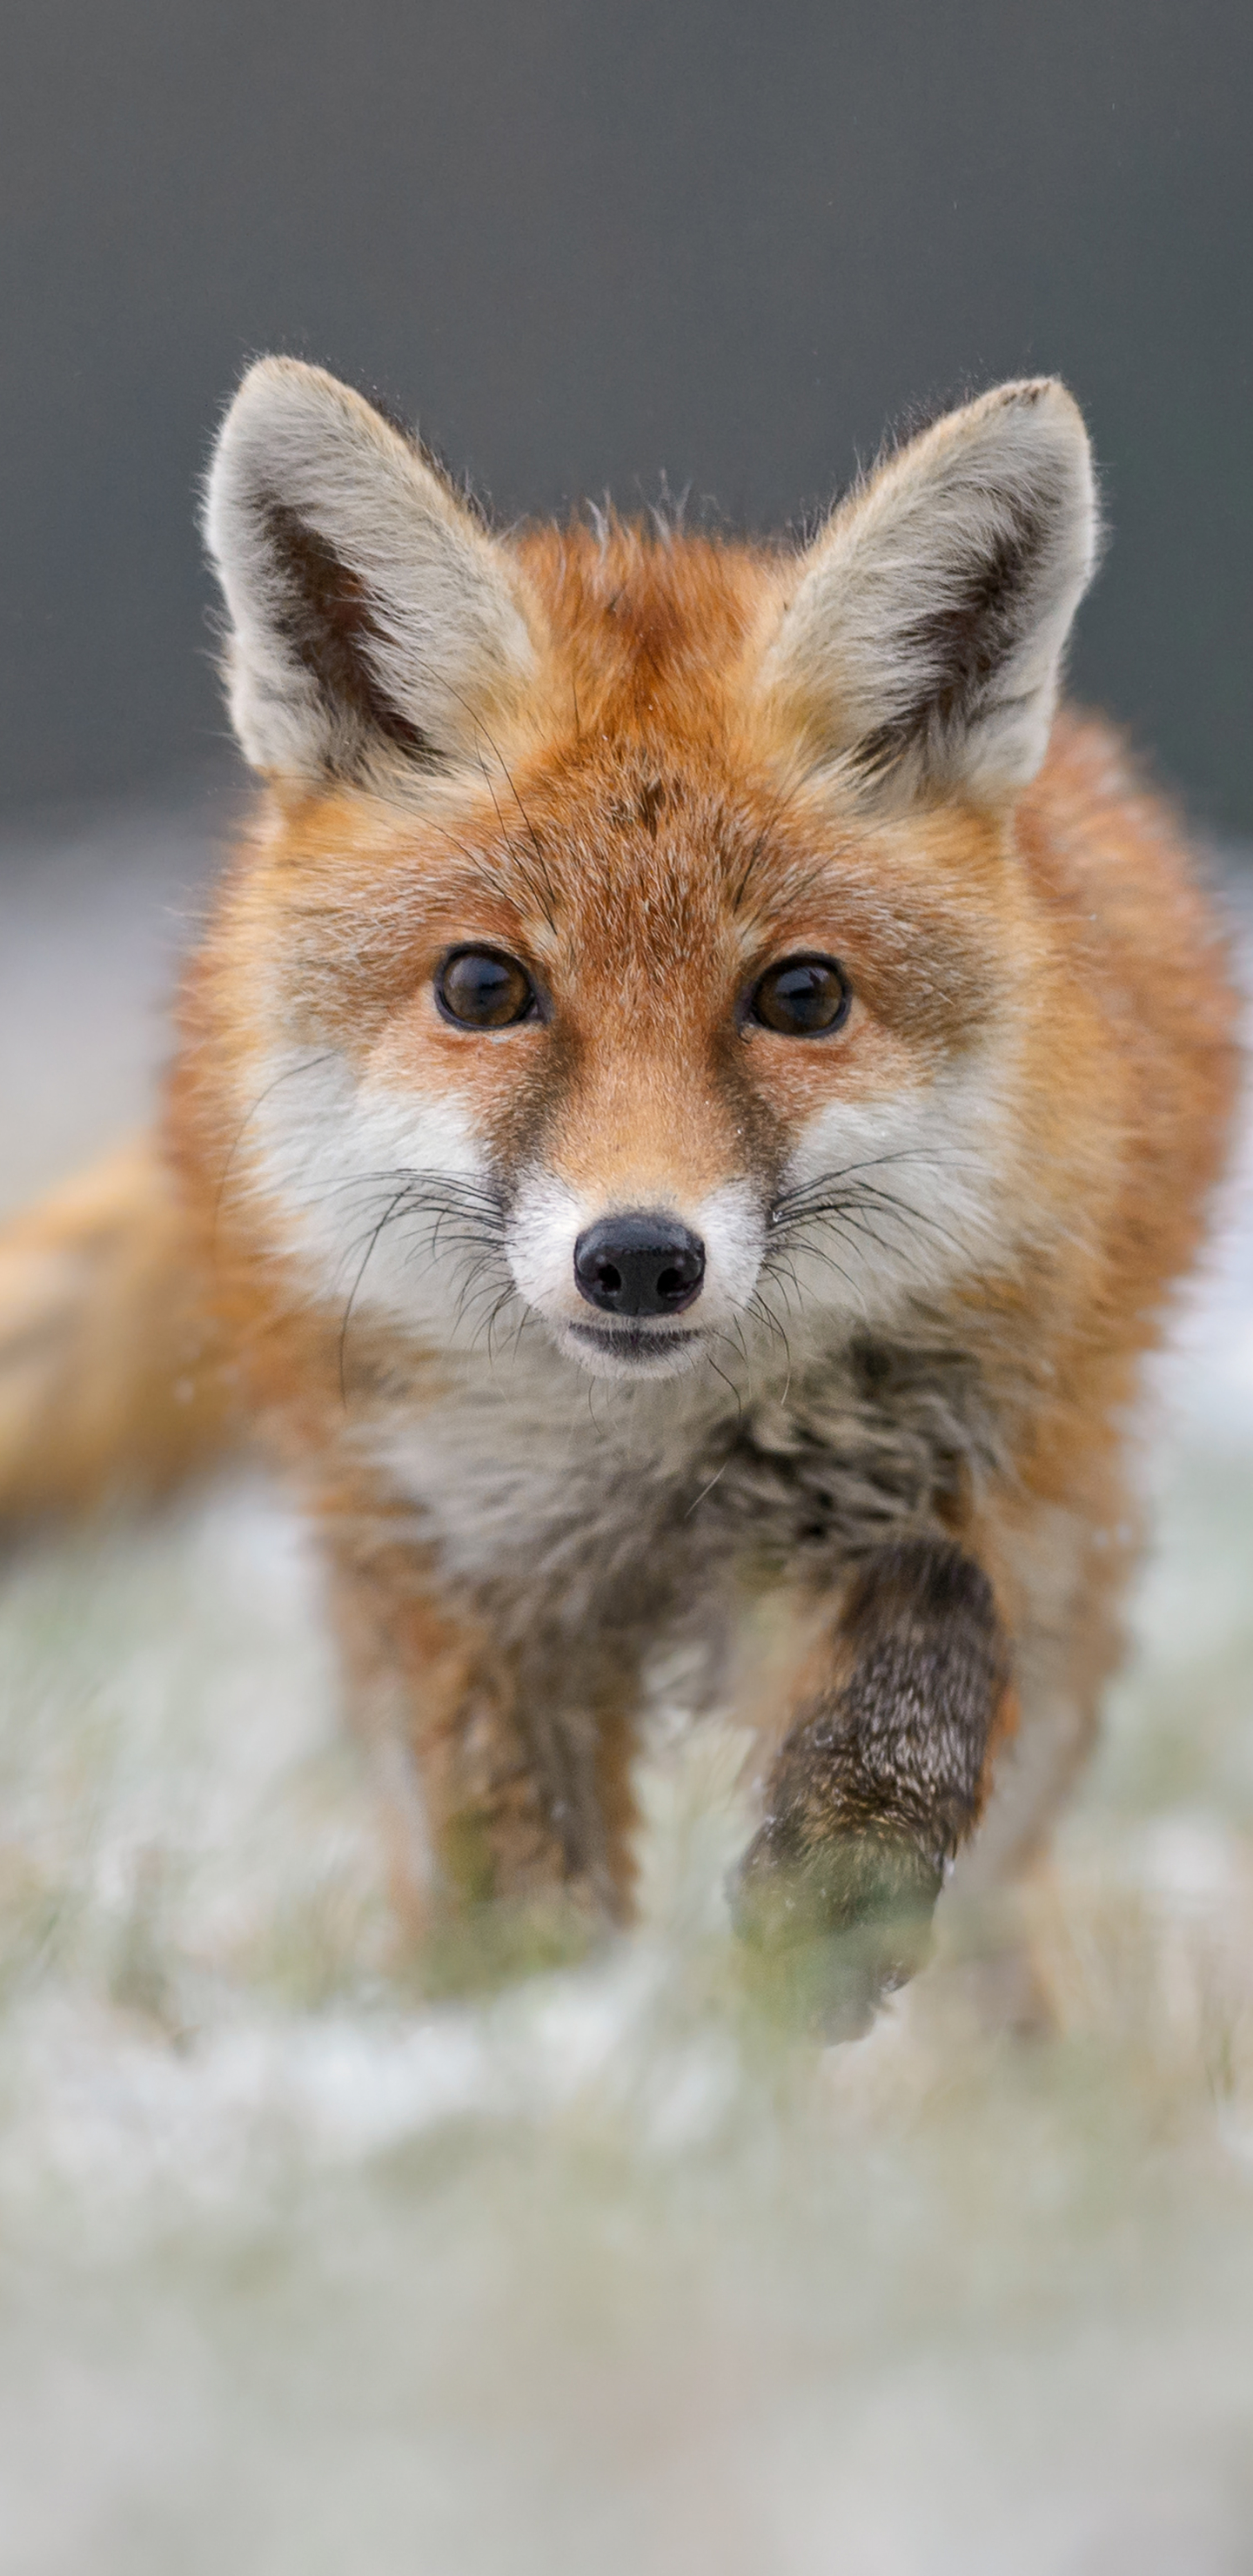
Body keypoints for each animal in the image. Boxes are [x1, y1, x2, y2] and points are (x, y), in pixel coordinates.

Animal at [0, 363, 1232, 2029]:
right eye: (483, 987)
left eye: (800, 995)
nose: (640, 1258)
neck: (653, 1464)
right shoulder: (462, 1570)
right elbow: (514, 1879)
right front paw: (532, 2038)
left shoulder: (956, 1476)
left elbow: (936, 1632)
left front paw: (831, 1892)